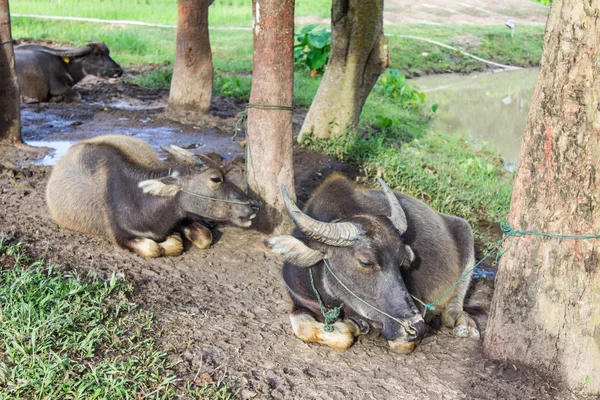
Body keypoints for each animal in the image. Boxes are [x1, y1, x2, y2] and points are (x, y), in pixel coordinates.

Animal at [47, 134, 260, 258]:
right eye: (215, 179)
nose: (255, 204)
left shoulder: (182, 216)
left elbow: (204, 237)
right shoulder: (119, 237)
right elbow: (153, 248)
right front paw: (171, 239)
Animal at [266, 173, 478, 354]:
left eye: (401, 262)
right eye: (366, 262)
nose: (417, 328)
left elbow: (398, 344)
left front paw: (357, 325)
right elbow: (303, 328)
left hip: (467, 237)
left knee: (453, 308)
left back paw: (465, 325)